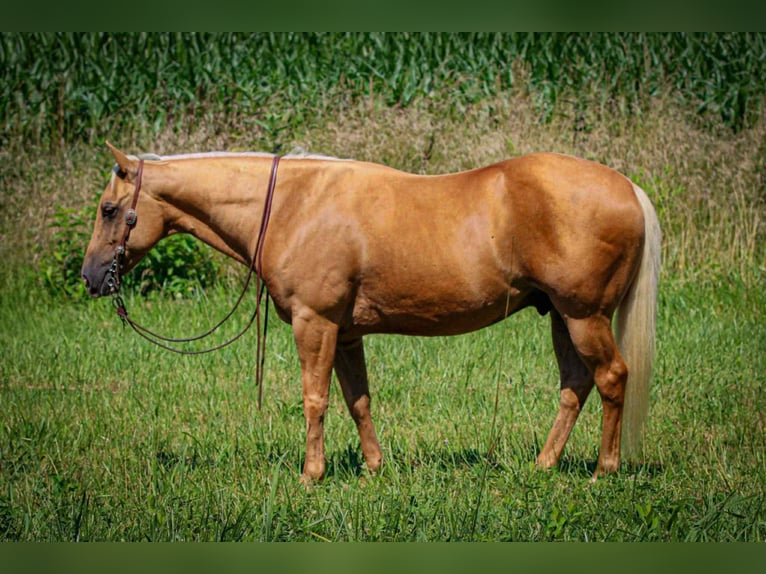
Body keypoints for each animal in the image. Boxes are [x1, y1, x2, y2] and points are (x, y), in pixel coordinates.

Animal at [82, 142, 661, 483]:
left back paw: (604, 470)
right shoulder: (346, 333)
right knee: (575, 386)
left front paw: (311, 476)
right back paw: (544, 465)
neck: (294, 203)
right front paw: (374, 468)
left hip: (584, 315)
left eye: (110, 209)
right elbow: (357, 400)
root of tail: (629, 188)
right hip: (561, 316)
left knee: (611, 378)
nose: (90, 277)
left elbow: (315, 400)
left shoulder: (315, 323)